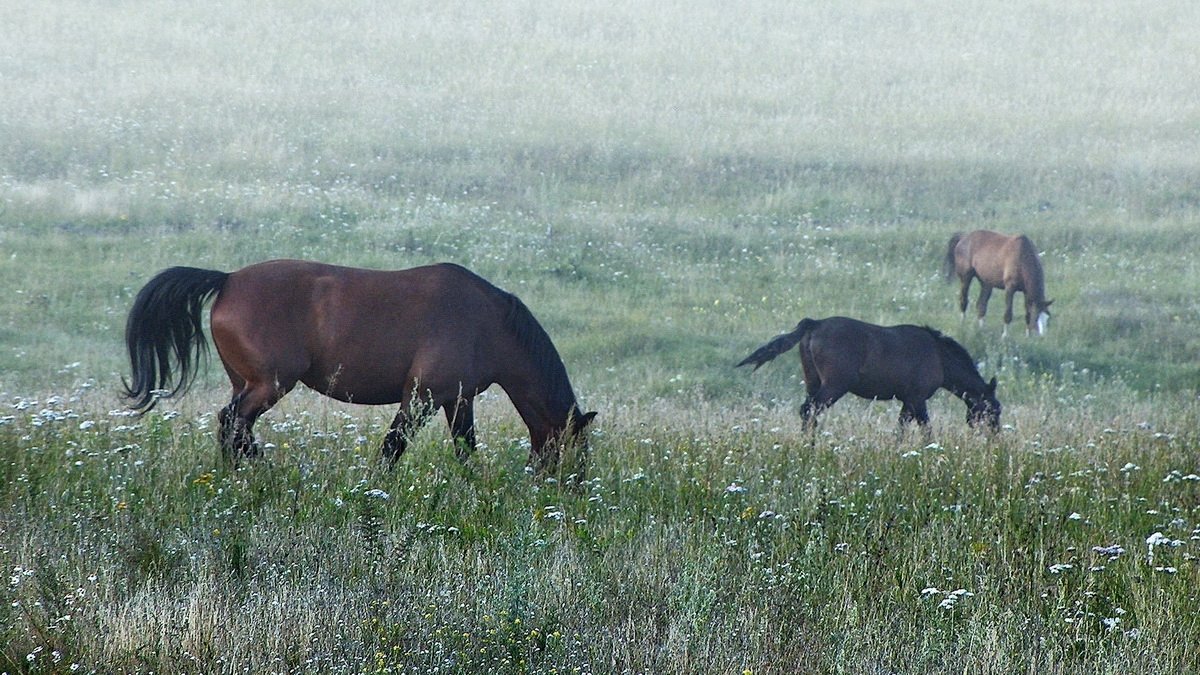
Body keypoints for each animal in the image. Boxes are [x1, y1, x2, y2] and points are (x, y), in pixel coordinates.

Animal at [124, 257, 597, 468]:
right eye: (577, 451)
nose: (572, 489)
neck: (488, 322)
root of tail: (227, 281)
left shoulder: (457, 400)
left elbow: (465, 449)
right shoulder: (421, 397)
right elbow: (392, 447)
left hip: (246, 383)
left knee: (232, 426)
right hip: (268, 384)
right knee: (232, 423)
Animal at [734, 317, 998, 429]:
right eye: (995, 410)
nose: (993, 437)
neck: (939, 356)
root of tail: (814, 323)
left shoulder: (907, 400)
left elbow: (901, 428)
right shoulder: (917, 398)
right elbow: (925, 428)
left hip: (812, 382)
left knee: (807, 411)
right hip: (833, 386)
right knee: (809, 411)